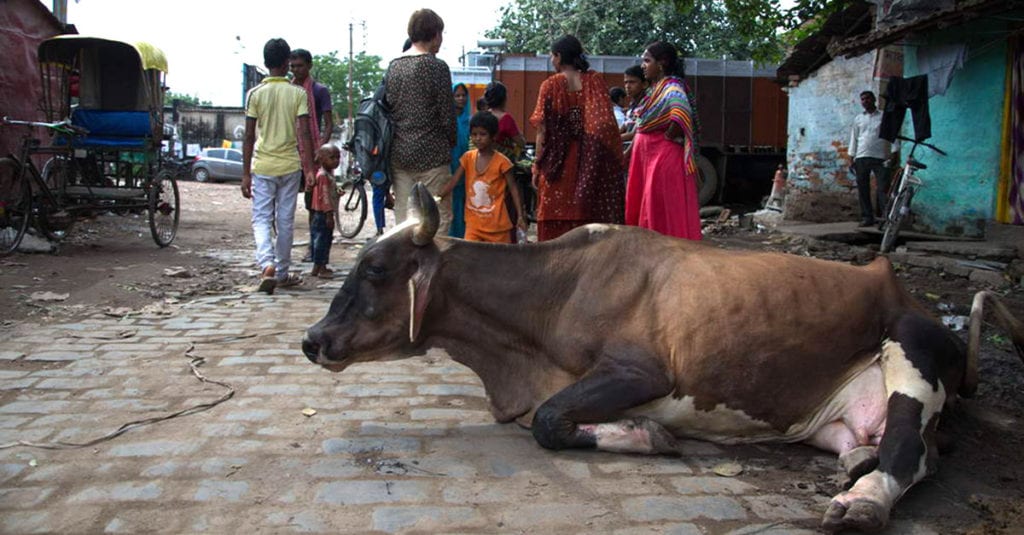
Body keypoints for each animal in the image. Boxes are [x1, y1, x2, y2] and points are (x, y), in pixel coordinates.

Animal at [303, 183, 1024, 528]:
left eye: (374, 268)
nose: (312, 339)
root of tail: (910, 292)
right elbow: (545, 417)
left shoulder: (639, 370)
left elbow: (549, 422)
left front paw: (647, 435)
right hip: (835, 417)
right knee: (912, 452)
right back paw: (856, 462)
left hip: (912, 347)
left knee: (907, 449)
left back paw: (864, 499)